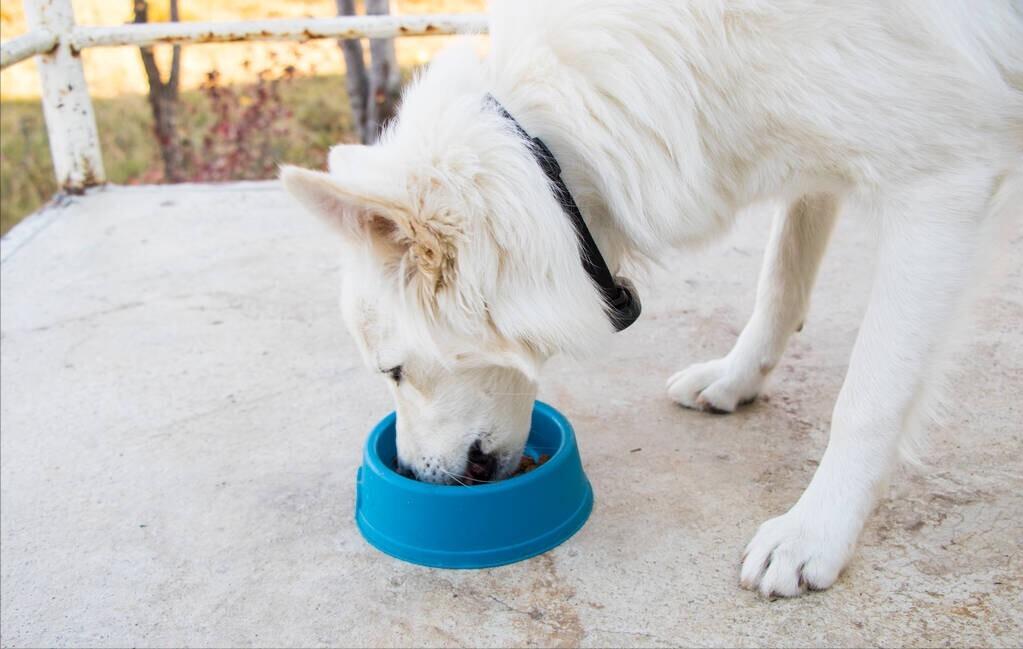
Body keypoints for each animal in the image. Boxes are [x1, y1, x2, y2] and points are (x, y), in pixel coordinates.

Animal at [284, 1, 1023, 597]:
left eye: (394, 371)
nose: (411, 471)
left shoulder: (940, 183)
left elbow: (869, 398)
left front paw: (816, 530)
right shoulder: (813, 151)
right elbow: (781, 279)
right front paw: (738, 377)